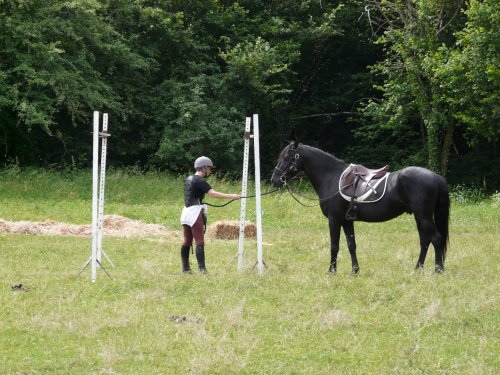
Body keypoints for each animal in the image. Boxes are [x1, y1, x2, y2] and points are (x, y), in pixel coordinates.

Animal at [272, 142, 452, 274]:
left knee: (436, 239)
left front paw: (331, 271)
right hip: (419, 217)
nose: (275, 180)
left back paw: (438, 270)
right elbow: (351, 245)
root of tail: (435, 176)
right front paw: (355, 271)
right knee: (425, 241)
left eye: (287, 157)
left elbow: (334, 246)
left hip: (424, 216)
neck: (331, 177)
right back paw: (418, 268)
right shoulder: (346, 221)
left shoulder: (334, 220)